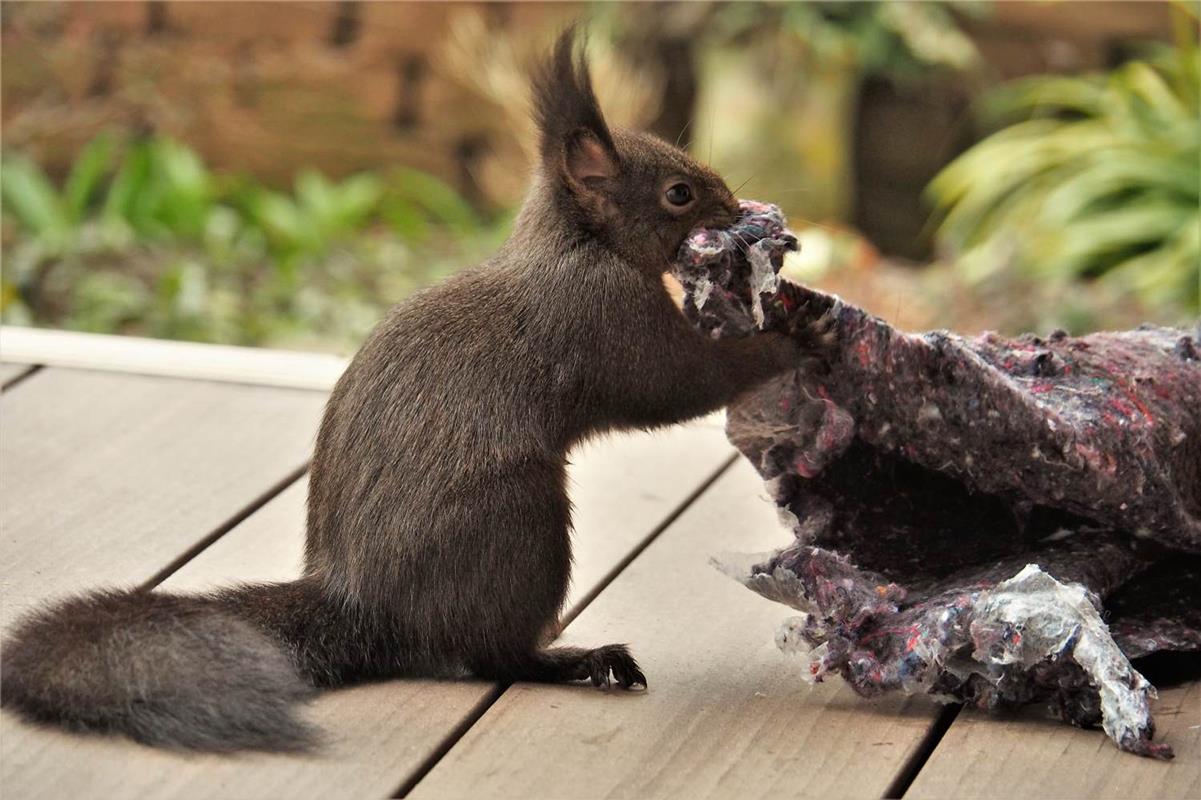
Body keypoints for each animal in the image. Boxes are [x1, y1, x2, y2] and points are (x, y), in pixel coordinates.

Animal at [0, 28, 821, 749]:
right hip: (518, 525)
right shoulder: (601, 322)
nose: (738, 211)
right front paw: (787, 336)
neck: (574, 243)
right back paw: (574, 661)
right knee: (487, 655)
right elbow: (675, 381)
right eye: (679, 194)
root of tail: (367, 611)